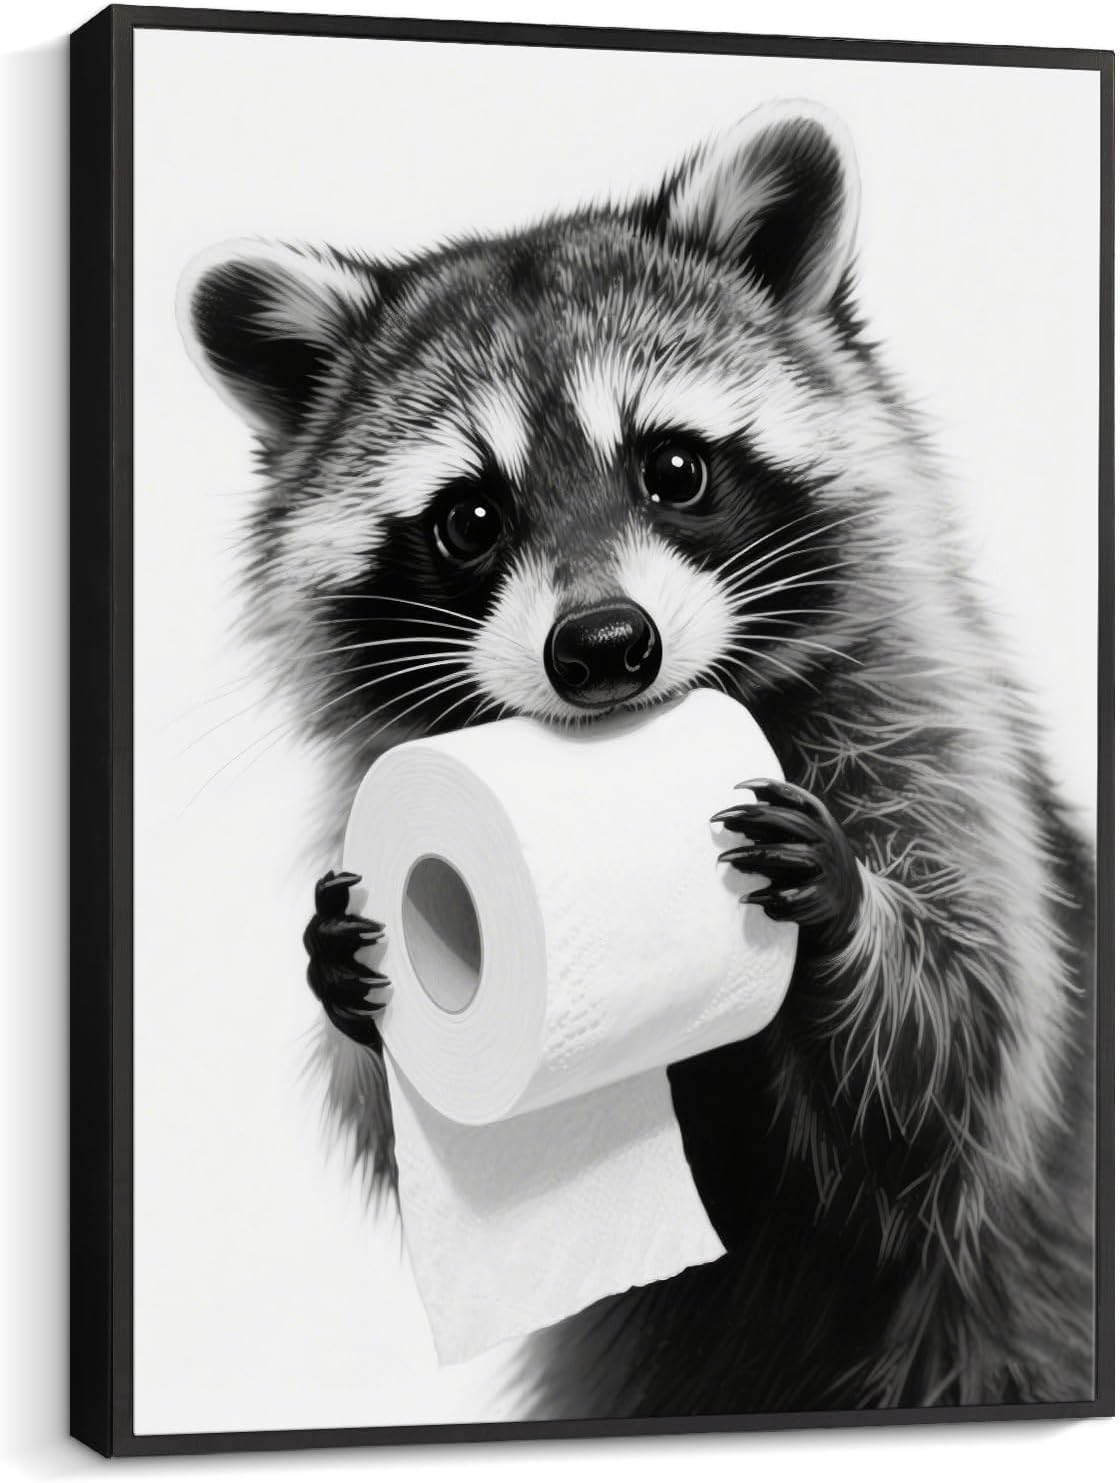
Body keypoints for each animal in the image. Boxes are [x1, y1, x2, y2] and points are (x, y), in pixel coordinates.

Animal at [179, 101, 1096, 1416]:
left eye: (673, 469)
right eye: (469, 520)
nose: (605, 647)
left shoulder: (927, 721)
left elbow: (955, 1081)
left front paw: (843, 909)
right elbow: (398, 1143)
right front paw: (345, 988)